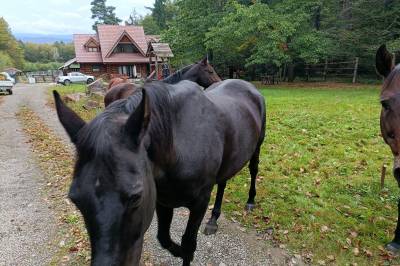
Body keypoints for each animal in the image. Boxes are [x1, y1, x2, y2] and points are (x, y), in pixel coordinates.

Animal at [53, 77, 266, 266]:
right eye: (75, 200)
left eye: (136, 197)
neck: (179, 147)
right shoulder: (163, 201)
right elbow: (163, 238)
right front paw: (178, 251)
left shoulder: (200, 203)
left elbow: (189, 244)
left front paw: (186, 253)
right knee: (223, 181)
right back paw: (213, 220)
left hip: (257, 148)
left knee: (253, 170)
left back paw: (250, 201)